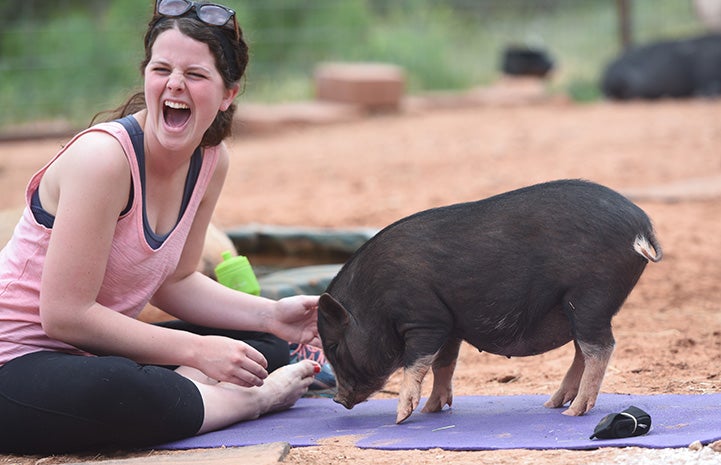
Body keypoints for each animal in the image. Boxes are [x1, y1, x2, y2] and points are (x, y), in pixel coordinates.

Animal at [318, 179, 660, 424]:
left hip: (590, 297)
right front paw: (431, 410)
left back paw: (572, 411)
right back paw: (553, 403)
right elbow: (443, 364)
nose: (336, 399)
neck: (373, 302)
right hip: (576, 307)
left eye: (333, 346)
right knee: (583, 351)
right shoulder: (449, 325)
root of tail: (641, 226)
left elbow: (416, 364)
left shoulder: (425, 320)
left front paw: (401, 417)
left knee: (600, 348)